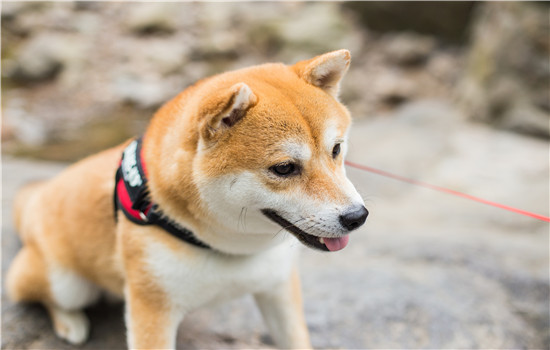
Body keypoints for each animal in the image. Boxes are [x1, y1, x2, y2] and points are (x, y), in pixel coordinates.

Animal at [6, 50, 370, 350]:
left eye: (336, 149)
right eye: (284, 168)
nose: (357, 217)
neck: (227, 248)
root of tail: (39, 197)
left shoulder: (278, 286)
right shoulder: (152, 308)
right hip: (64, 282)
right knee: (34, 291)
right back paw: (70, 322)